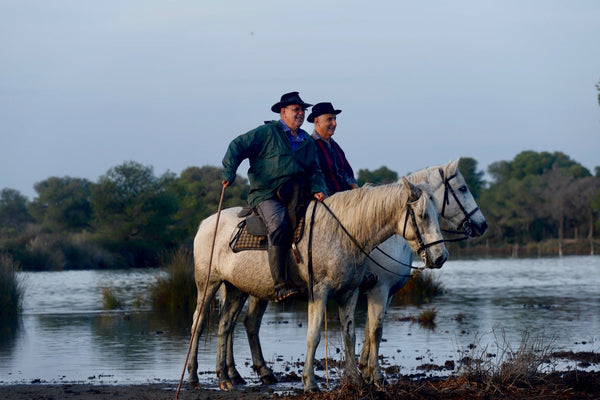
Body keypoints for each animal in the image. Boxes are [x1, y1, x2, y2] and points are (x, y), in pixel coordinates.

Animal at [216, 159, 488, 388]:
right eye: (463, 188)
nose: (482, 225)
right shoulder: (378, 289)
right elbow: (374, 330)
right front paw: (374, 374)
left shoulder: (380, 293)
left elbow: (368, 330)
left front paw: (364, 370)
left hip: (248, 289)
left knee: (241, 324)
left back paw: (244, 373)